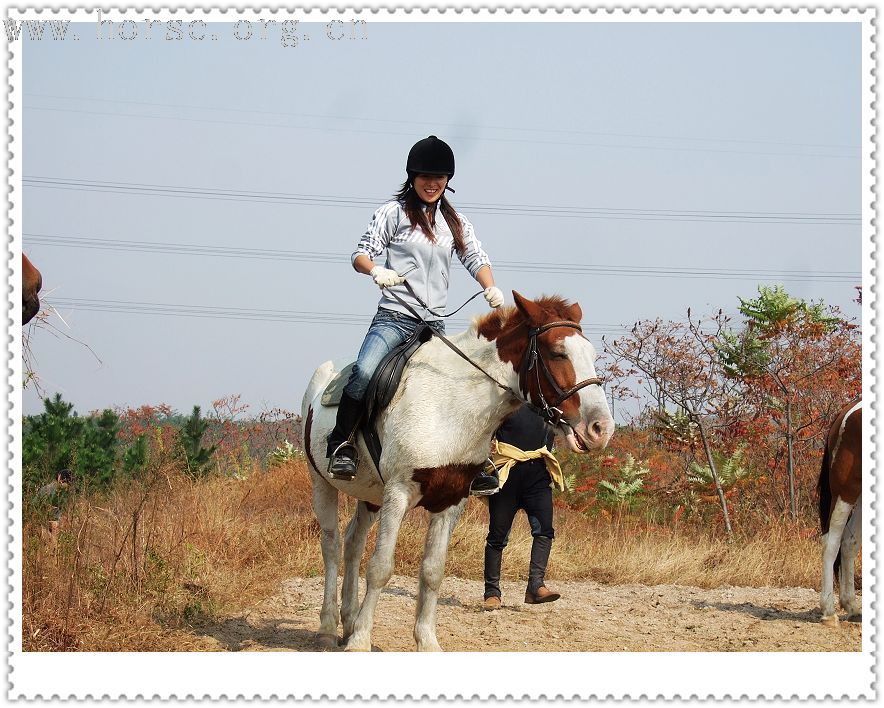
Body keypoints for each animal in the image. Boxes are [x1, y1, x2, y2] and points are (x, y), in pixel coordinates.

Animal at [304, 290, 616, 648]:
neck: (450, 404)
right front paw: (360, 642)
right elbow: (381, 567)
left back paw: (348, 620)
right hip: (322, 483)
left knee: (353, 543)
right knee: (331, 545)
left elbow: (432, 572)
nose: (601, 428)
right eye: (557, 352)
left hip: (370, 496)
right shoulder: (398, 493)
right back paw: (329, 628)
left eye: (591, 354)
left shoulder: (451, 500)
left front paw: (426, 642)